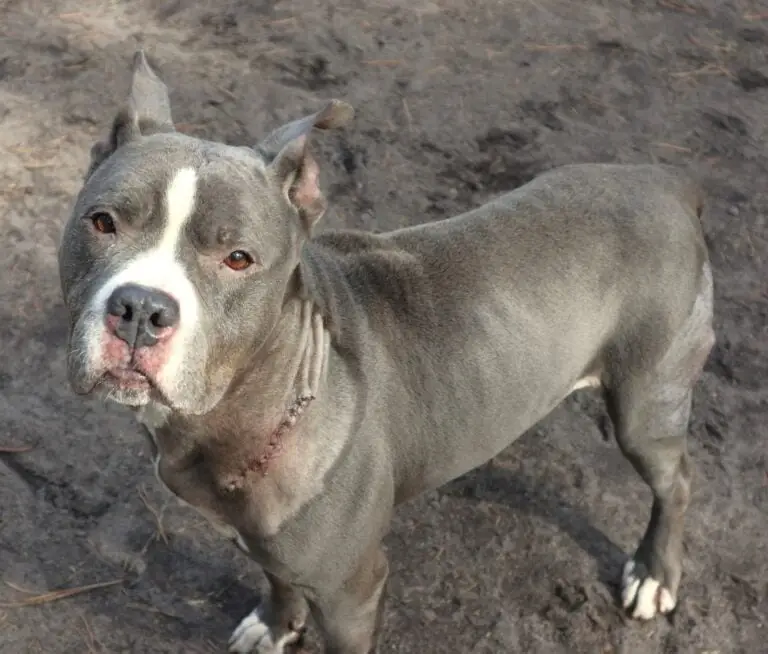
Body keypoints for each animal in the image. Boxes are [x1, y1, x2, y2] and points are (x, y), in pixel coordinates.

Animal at [58, 51, 715, 653]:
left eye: (238, 258)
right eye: (103, 222)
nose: (141, 309)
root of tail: (664, 182)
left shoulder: (354, 592)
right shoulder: (271, 544)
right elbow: (277, 577)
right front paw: (276, 624)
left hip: (646, 402)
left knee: (676, 480)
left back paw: (655, 574)